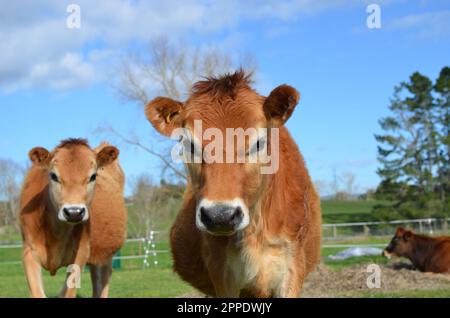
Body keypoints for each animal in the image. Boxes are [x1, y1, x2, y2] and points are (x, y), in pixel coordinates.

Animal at [19, 139, 127, 298]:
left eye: (93, 176)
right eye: (53, 175)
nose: (74, 212)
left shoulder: (81, 254)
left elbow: (68, 292)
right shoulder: (29, 252)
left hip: (105, 256)